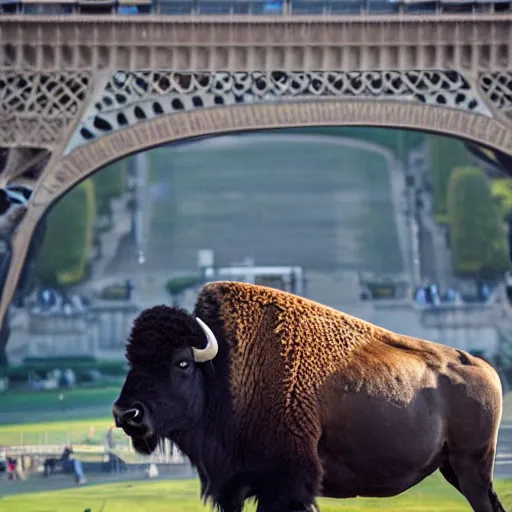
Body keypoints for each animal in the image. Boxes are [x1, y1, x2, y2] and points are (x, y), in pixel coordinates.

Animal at [114, 280, 506, 512]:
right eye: (131, 359)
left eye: (181, 362)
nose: (125, 413)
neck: (225, 370)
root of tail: (488, 371)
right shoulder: (234, 486)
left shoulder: (286, 486)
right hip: (452, 467)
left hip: (472, 466)